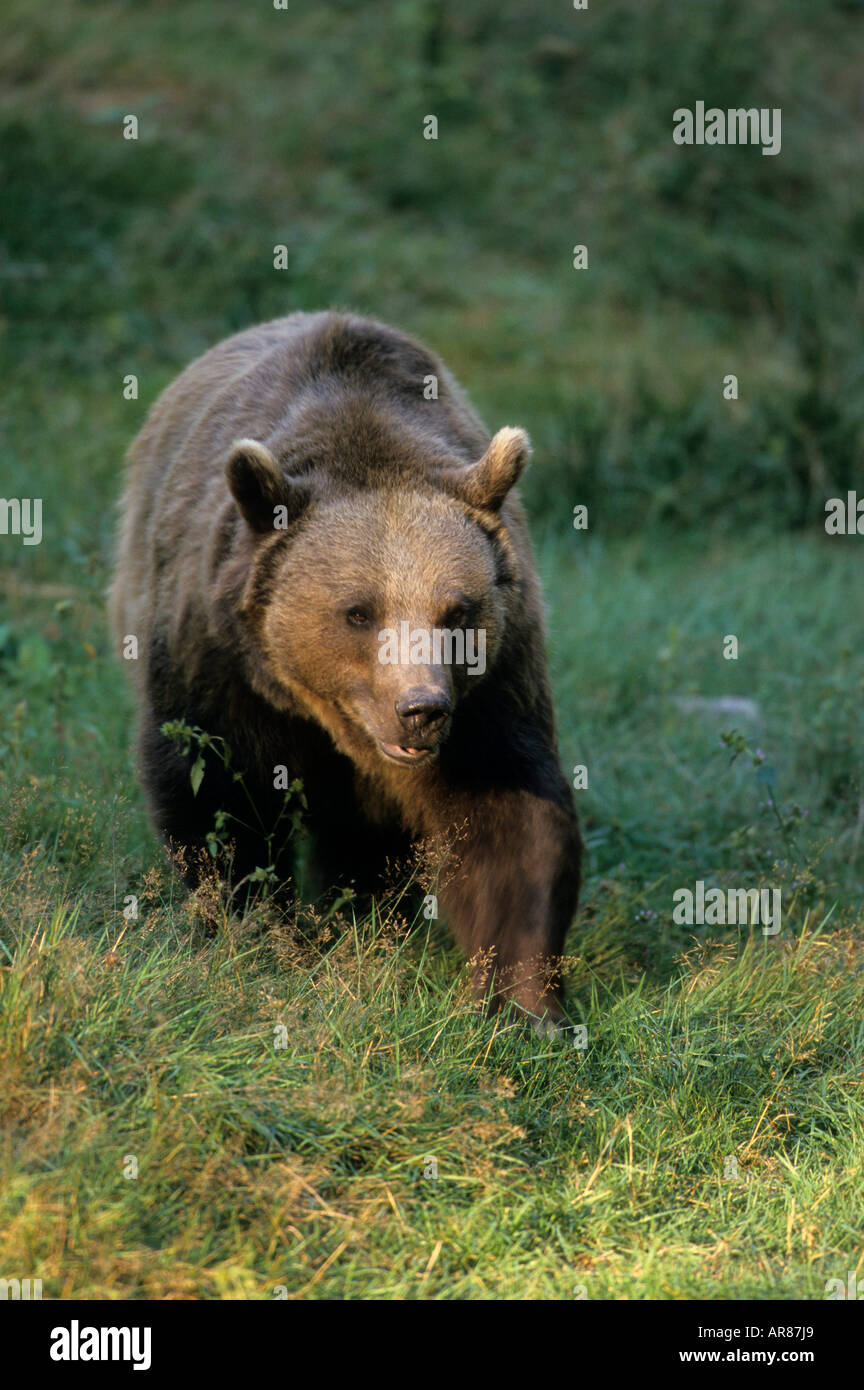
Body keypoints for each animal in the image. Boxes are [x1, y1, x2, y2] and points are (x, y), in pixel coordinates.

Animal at [108, 318, 583, 1034]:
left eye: (457, 611)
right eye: (359, 611)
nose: (421, 709)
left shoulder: (493, 685)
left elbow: (508, 820)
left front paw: (525, 1004)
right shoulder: (219, 662)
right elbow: (220, 793)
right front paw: (254, 934)